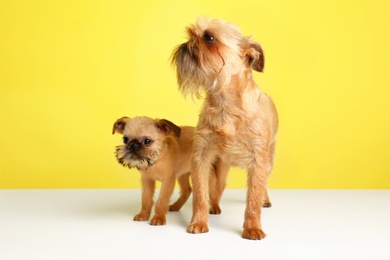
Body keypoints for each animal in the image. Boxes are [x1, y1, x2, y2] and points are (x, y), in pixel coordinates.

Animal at [172, 17, 278, 239]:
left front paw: (252, 227)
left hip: (269, 160)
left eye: (209, 38)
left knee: (262, 185)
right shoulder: (201, 158)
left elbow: (253, 198)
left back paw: (264, 200)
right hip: (220, 167)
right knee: (217, 189)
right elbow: (200, 195)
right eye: (190, 34)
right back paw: (214, 207)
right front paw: (198, 222)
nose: (187, 43)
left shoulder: (259, 161)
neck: (225, 104)